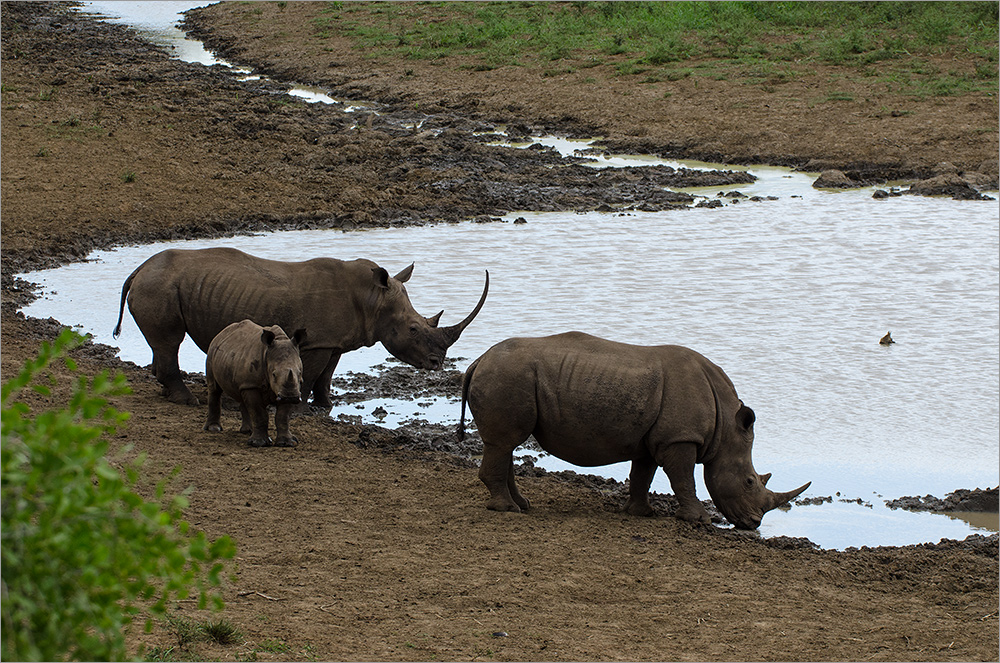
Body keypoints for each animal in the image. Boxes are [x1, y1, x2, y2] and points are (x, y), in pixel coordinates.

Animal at [205, 320, 306, 448]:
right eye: (274, 374)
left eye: (299, 373)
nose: (291, 397)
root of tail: (221, 333)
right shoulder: (252, 385)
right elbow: (259, 413)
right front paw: (259, 443)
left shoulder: (289, 389)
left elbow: (282, 416)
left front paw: (287, 443)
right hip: (212, 351)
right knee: (215, 389)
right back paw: (214, 428)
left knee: (242, 395)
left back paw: (248, 431)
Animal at [458, 334, 808, 532]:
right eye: (749, 481)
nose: (754, 524)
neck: (725, 426)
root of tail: (479, 360)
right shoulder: (679, 437)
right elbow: (683, 478)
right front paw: (699, 521)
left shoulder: (654, 438)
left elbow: (644, 473)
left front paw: (641, 514)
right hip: (507, 375)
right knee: (504, 442)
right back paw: (508, 510)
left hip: (508, 375)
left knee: (505, 445)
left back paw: (523, 504)